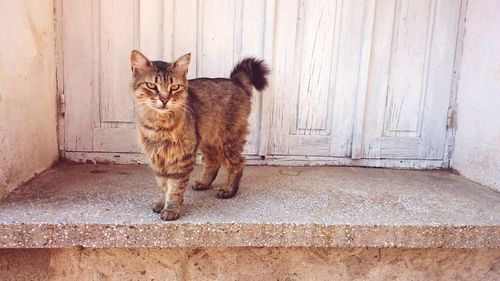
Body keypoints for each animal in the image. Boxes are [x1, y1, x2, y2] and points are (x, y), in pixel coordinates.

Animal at [131, 51, 268, 220]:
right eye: (151, 86)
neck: (159, 125)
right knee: (214, 162)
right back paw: (204, 183)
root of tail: (234, 81)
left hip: (229, 140)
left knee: (238, 163)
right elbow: (164, 185)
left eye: (174, 87)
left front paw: (171, 209)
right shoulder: (158, 158)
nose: (164, 99)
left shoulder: (181, 158)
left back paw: (229, 191)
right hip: (210, 140)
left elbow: (174, 189)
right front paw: (162, 203)